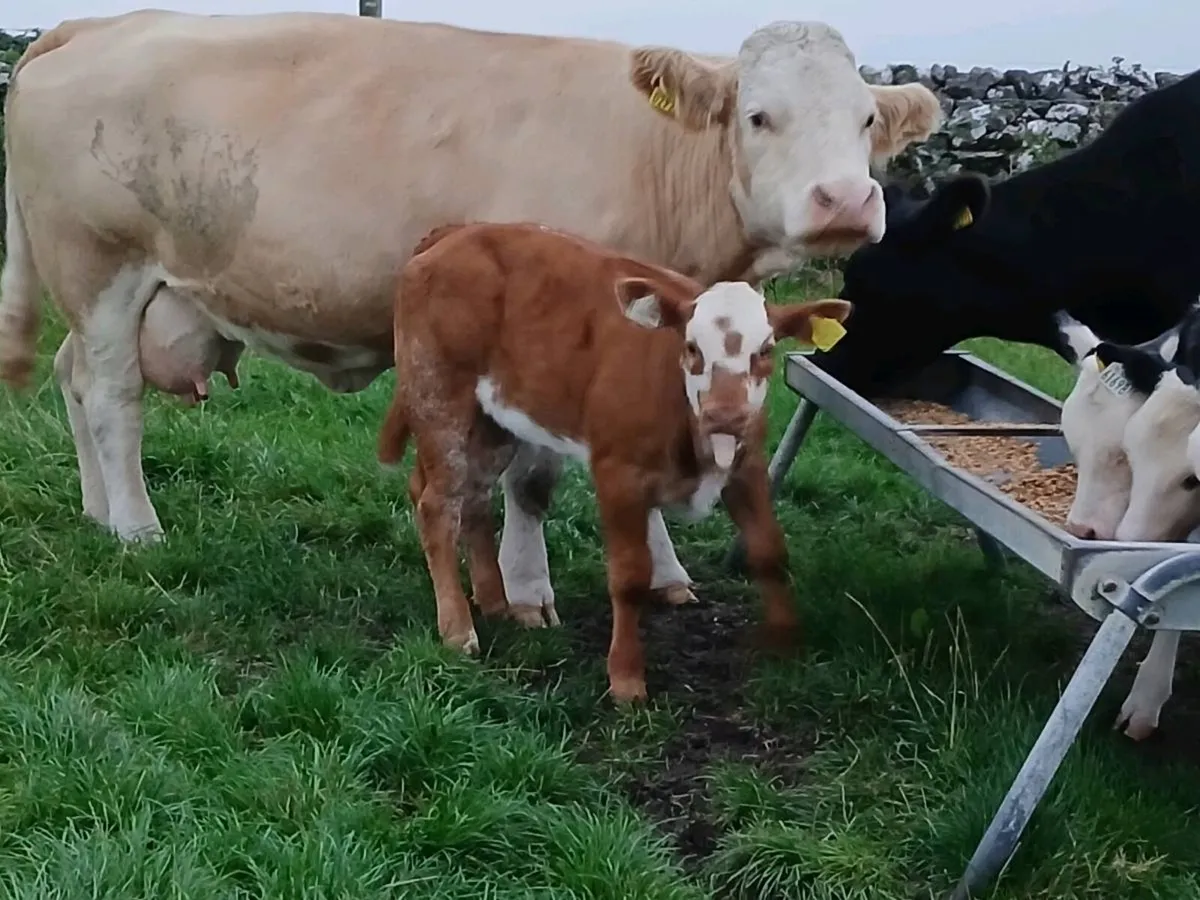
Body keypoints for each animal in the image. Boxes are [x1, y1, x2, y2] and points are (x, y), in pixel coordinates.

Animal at [0, 9, 940, 630]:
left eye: (866, 120)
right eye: (759, 115)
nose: (845, 201)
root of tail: (94, 23)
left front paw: (666, 574)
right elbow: (532, 480)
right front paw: (526, 590)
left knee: (74, 382)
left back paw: (96, 512)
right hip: (101, 265)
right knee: (113, 399)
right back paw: (136, 528)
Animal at [376, 221, 852, 701]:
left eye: (766, 350)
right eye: (691, 347)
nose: (726, 414)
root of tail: (458, 231)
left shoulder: (747, 466)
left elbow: (770, 551)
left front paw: (787, 643)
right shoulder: (618, 473)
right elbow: (628, 577)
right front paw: (625, 677)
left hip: (494, 420)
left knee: (469, 496)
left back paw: (493, 599)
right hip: (440, 399)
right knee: (437, 506)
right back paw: (458, 628)